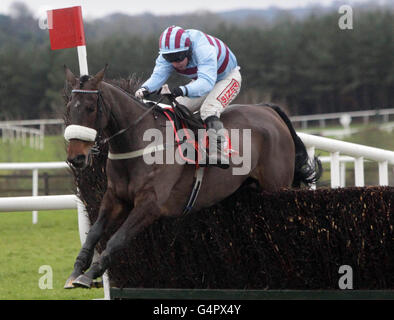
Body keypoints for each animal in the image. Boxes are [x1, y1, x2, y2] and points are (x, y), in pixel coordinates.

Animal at [61, 66, 320, 288]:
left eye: (90, 108)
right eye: (69, 107)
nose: (76, 157)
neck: (140, 143)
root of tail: (267, 109)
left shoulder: (150, 205)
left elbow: (117, 239)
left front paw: (90, 275)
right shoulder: (115, 197)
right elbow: (94, 233)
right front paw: (76, 271)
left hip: (277, 185)